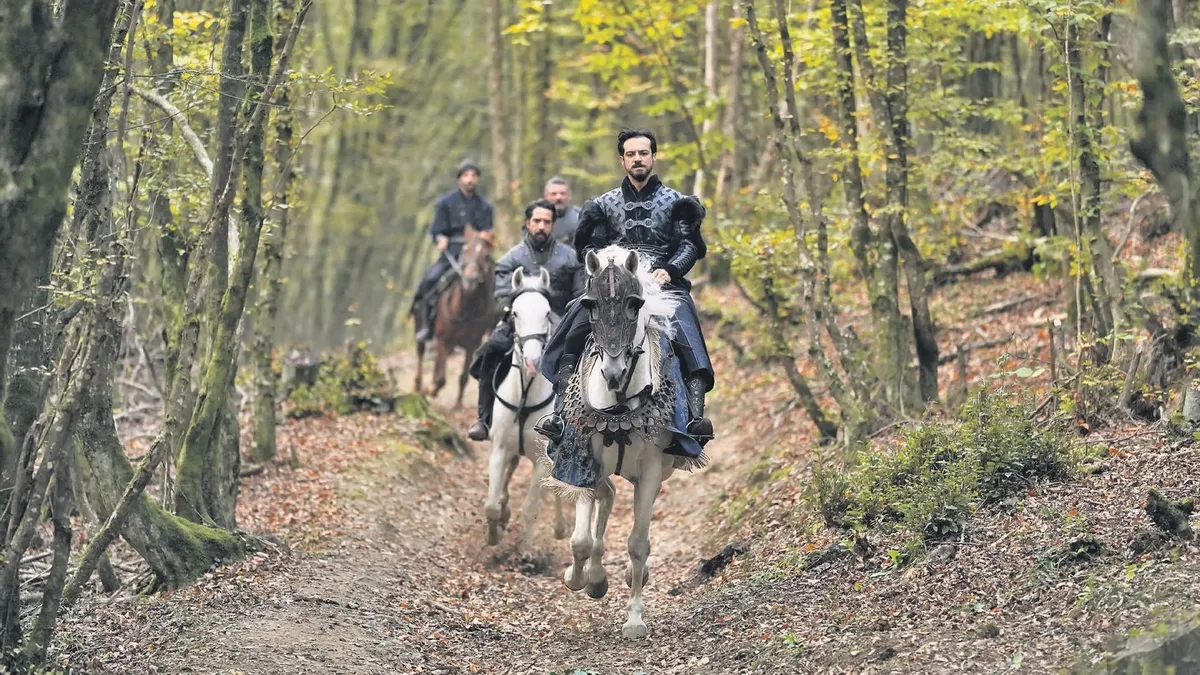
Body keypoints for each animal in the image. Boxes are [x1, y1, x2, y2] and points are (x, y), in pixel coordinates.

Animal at [414, 227, 498, 407]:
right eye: (465, 250)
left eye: (486, 255)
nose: (470, 279)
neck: (465, 309)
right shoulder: (442, 339)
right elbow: (441, 378)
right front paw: (429, 390)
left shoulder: (472, 344)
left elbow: (463, 377)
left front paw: (458, 405)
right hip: (421, 331)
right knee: (421, 353)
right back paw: (418, 386)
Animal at [484, 266, 569, 546]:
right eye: (515, 313)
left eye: (547, 313)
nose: (532, 361)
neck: (525, 395)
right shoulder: (499, 449)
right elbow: (490, 505)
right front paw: (493, 534)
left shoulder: (541, 461)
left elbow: (530, 509)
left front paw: (527, 550)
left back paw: (560, 527)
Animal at [539, 244, 687, 640]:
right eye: (590, 305)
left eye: (635, 304)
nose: (613, 372)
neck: (620, 403)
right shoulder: (581, 457)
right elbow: (580, 540)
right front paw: (580, 578)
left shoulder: (651, 470)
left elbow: (638, 543)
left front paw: (635, 618)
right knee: (605, 497)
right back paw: (594, 576)